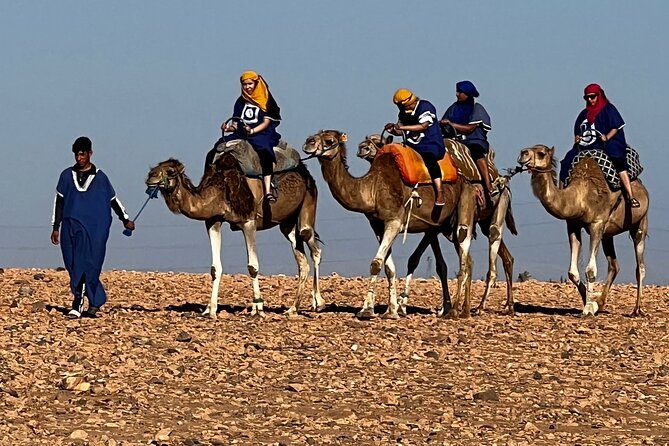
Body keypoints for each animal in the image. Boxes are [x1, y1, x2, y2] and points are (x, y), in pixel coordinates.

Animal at [145, 150, 324, 319]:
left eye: (170, 171)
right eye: (156, 166)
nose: (150, 176)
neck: (220, 191)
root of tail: (307, 174)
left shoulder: (248, 222)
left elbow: (253, 267)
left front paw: (257, 309)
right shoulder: (213, 221)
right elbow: (215, 268)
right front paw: (210, 310)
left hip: (309, 202)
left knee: (313, 246)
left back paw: (318, 303)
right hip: (287, 223)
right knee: (302, 261)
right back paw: (293, 309)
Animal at [303, 129, 477, 319]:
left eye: (329, 140)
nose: (308, 142)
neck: (373, 188)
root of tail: (466, 179)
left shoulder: (394, 221)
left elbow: (376, 263)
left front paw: (366, 310)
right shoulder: (377, 225)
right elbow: (389, 267)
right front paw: (391, 311)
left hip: (465, 205)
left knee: (463, 256)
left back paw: (454, 311)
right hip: (442, 226)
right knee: (464, 260)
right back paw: (464, 310)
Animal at [358, 134, 518, 314]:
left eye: (378, 141)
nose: (362, 147)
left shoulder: (435, 225)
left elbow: (418, 259)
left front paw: (403, 306)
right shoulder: (433, 227)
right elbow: (440, 265)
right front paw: (440, 307)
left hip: (498, 206)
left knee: (493, 242)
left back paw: (480, 307)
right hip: (482, 221)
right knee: (506, 258)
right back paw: (507, 306)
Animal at [517, 144, 649, 316]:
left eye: (541, 153)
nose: (523, 153)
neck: (581, 197)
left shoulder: (597, 224)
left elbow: (590, 270)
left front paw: (587, 309)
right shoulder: (573, 225)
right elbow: (572, 272)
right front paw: (589, 302)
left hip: (640, 222)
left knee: (640, 266)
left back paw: (637, 309)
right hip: (608, 234)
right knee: (614, 265)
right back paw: (600, 304)